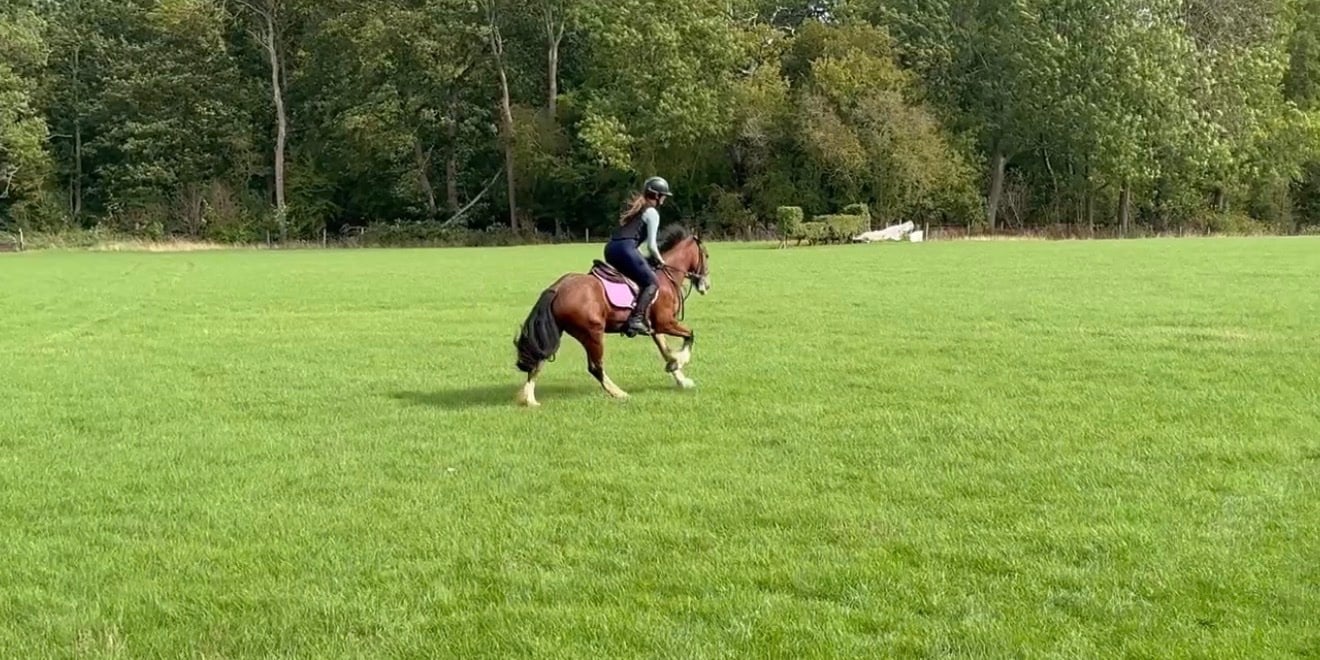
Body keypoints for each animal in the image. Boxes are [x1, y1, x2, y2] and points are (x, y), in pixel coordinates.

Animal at [512, 227, 711, 407]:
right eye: (707, 256)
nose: (706, 285)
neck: (666, 278)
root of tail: (558, 287)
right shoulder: (666, 323)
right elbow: (689, 335)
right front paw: (680, 362)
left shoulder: (655, 327)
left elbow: (666, 352)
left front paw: (681, 377)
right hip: (592, 333)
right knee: (595, 367)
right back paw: (619, 393)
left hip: (555, 332)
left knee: (539, 358)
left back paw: (529, 399)